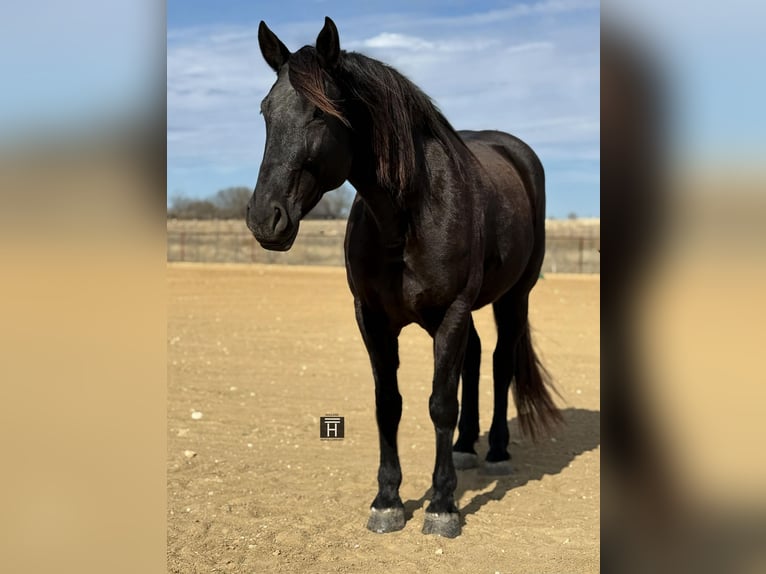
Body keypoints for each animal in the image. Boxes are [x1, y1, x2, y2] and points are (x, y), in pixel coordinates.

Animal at [246, 17, 562, 538]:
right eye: (266, 112)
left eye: (320, 113)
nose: (263, 218)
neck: (409, 216)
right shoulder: (373, 318)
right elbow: (388, 403)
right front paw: (388, 500)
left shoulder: (452, 311)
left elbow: (440, 403)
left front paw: (442, 506)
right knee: (476, 358)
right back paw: (466, 447)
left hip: (515, 297)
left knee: (500, 363)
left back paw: (495, 451)